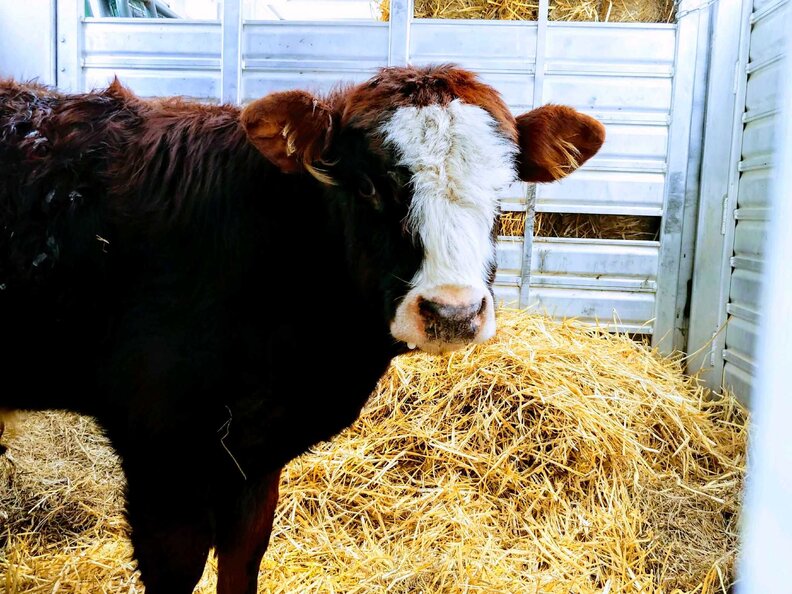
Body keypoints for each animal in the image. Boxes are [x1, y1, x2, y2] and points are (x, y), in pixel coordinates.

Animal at [0, 64, 604, 593]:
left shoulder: (255, 457)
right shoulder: (162, 451)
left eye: (502, 190)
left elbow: (241, 562)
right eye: (368, 187)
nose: (453, 312)